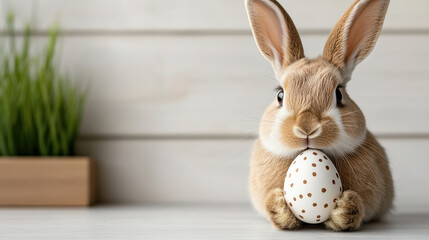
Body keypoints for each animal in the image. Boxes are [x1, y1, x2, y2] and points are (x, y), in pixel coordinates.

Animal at [246, 0, 392, 232]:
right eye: (280, 95)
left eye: (339, 94)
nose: (307, 127)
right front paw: (280, 210)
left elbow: (362, 205)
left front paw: (344, 212)